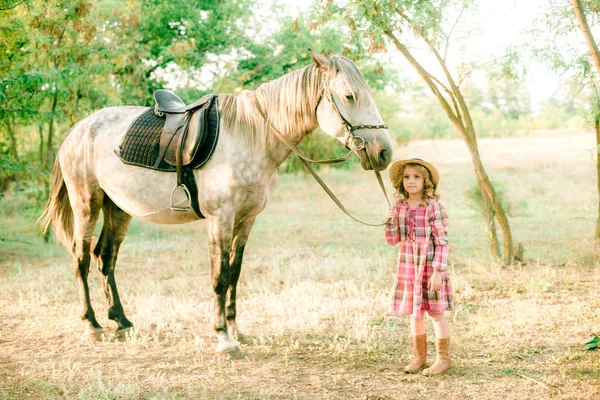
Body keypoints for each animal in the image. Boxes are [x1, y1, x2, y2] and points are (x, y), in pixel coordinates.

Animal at [38, 50, 394, 356]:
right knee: (82, 258)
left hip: (118, 208)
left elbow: (234, 273)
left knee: (105, 258)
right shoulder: (220, 219)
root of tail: (78, 130)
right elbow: (219, 276)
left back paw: (121, 321)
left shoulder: (246, 220)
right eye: (349, 96)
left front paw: (236, 330)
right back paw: (92, 325)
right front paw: (223, 338)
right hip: (87, 204)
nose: (384, 152)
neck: (251, 137)